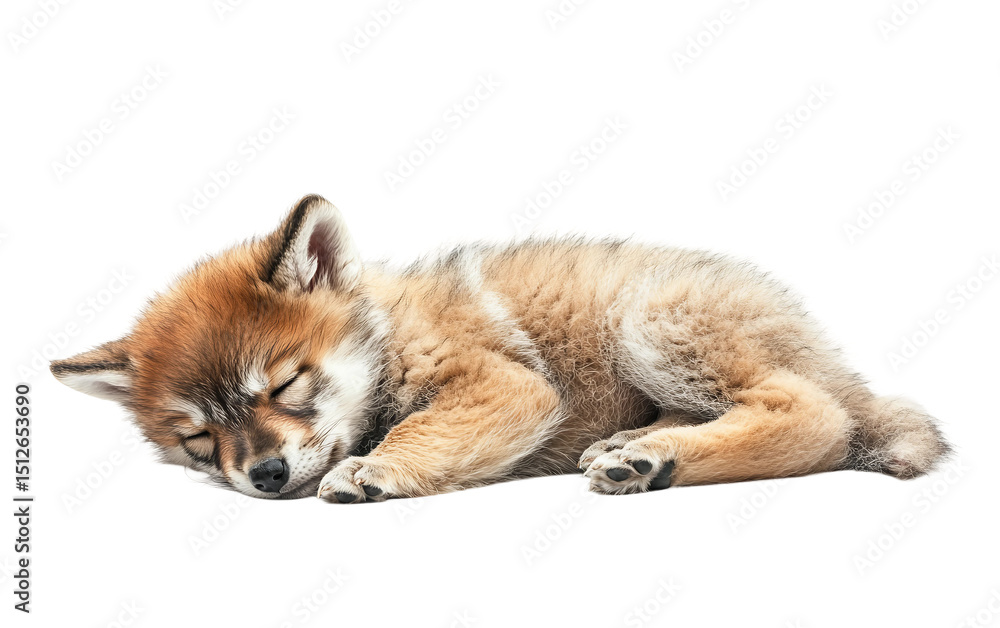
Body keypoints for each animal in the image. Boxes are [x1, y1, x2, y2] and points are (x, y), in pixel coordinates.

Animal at [50, 195, 951, 502]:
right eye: (198, 438)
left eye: (284, 386)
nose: (266, 476)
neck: (387, 329)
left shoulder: (502, 387)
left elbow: (423, 429)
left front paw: (374, 470)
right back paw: (640, 448)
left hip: (654, 319)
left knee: (815, 418)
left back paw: (656, 458)